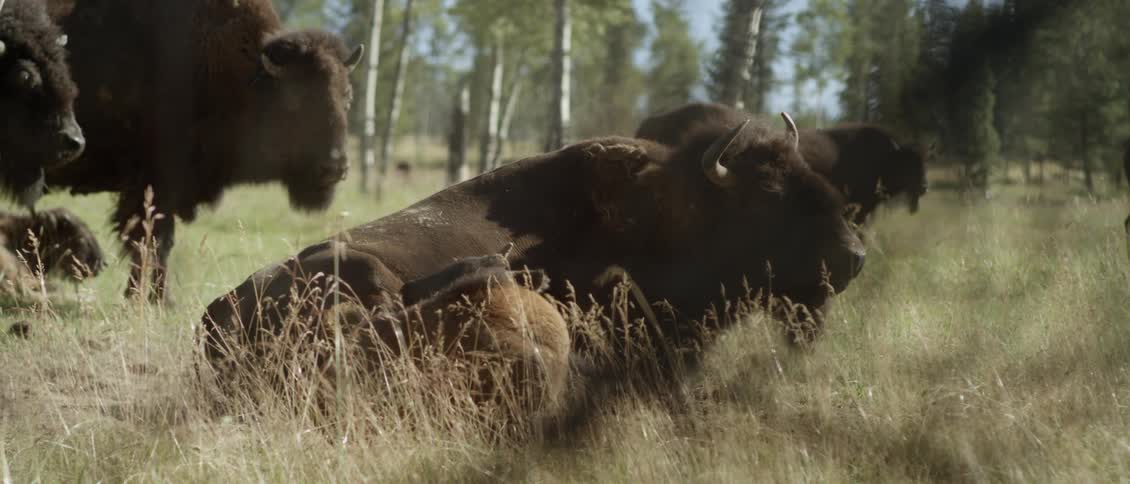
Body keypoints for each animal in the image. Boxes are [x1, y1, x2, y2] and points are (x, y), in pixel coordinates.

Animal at [45, 0, 363, 302]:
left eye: (347, 96)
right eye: (294, 101)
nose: (335, 167)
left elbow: (156, 242)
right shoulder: (153, 185)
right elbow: (151, 241)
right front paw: (152, 300)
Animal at [201, 113, 865, 400]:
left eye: (814, 177)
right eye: (769, 194)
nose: (854, 256)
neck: (663, 215)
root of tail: (213, 314)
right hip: (361, 273)